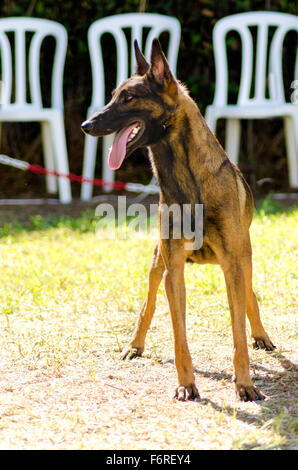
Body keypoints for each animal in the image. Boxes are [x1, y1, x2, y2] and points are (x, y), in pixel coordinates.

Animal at [81, 38, 274, 402]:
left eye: (128, 98)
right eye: (113, 95)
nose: (86, 125)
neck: (188, 181)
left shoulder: (232, 266)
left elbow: (238, 333)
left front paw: (244, 383)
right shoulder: (174, 269)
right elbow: (178, 333)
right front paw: (186, 384)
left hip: (243, 257)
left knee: (250, 295)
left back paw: (261, 335)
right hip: (159, 262)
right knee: (148, 304)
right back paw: (134, 345)